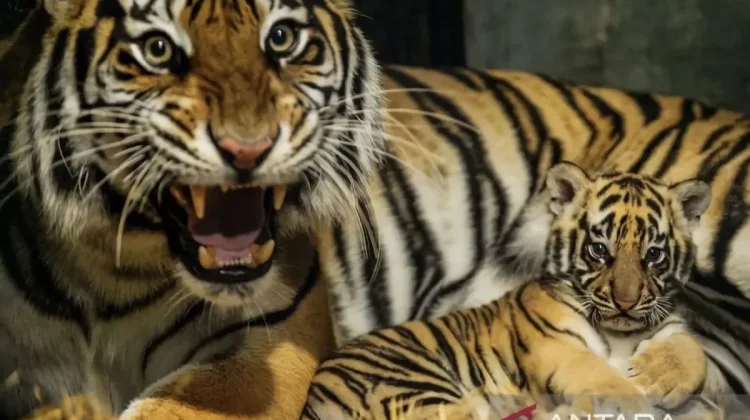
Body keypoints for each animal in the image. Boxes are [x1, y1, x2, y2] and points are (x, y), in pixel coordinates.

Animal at [300, 163, 719, 420]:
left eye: (654, 254)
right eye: (599, 250)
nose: (626, 302)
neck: (620, 332)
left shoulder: (671, 325)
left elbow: (693, 350)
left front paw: (655, 375)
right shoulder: (556, 344)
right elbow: (597, 372)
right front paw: (633, 396)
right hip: (412, 382)